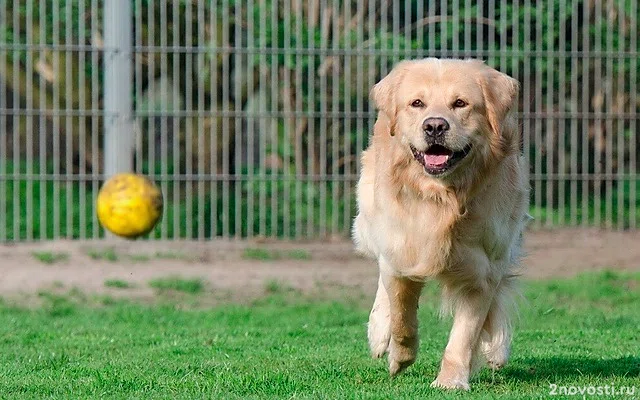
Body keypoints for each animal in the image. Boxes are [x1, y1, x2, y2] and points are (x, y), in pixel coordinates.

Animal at [352, 57, 528, 390]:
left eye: (460, 103)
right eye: (417, 103)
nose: (435, 126)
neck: (442, 198)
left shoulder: (483, 268)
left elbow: (464, 335)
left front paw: (451, 381)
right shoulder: (402, 252)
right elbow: (402, 318)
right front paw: (399, 358)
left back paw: (497, 347)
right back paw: (379, 332)